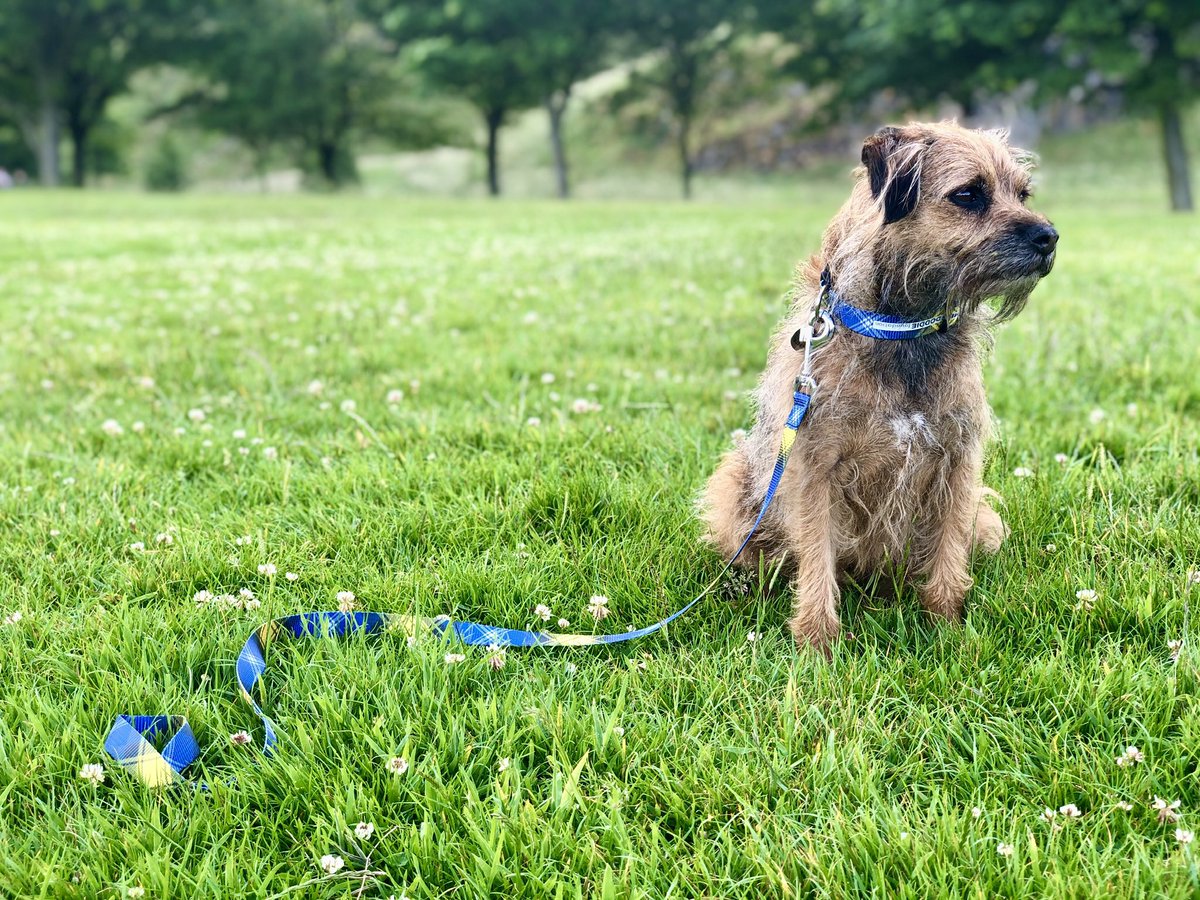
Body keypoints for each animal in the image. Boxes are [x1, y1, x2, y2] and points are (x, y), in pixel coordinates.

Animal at [700, 121, 1060, 657]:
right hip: (733, 485)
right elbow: (816, 554)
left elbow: (949, 549)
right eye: (969, 194)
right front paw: (816, 643)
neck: (903, 328)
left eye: (1022, 194)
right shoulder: (815, 468)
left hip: (985, 521)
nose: (1049, 237)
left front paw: (947, 627)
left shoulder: (958, 461)